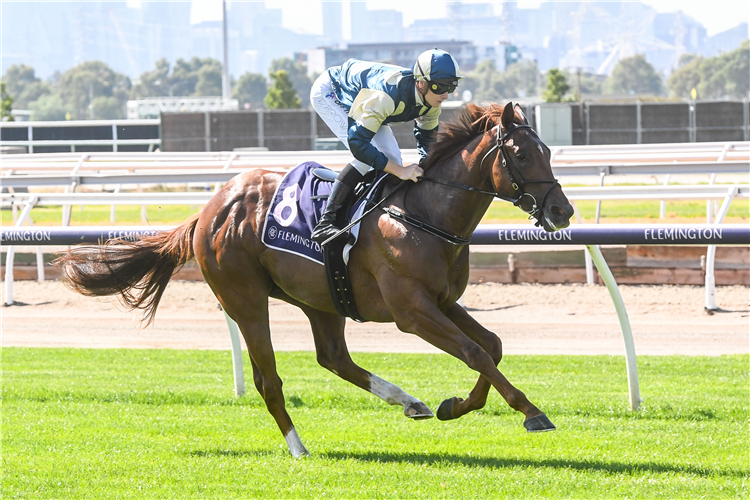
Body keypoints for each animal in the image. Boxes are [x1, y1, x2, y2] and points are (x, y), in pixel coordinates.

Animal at [55, 101, 576, 458]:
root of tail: (209, 210)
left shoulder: (443, 301)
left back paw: (408, 401)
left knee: (333, 358)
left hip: (322, 298)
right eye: (522, 155)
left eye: (548, 150)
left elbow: (491, 346)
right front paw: (532, 412)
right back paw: (298, 447)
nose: (562, 211)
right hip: (244, 298)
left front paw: (455, 405)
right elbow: (473, 352)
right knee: (269, 379)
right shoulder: (412, 311)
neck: (424, 214)